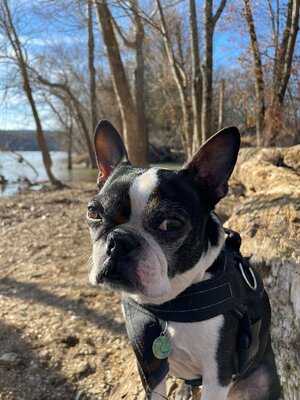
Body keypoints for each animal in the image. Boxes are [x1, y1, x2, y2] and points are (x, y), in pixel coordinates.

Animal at [87, 120, 282, 400]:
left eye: (170, 224)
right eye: (93, 212)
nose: (119, 241)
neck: (172, 304)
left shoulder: (218, 375)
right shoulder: (149, 364)